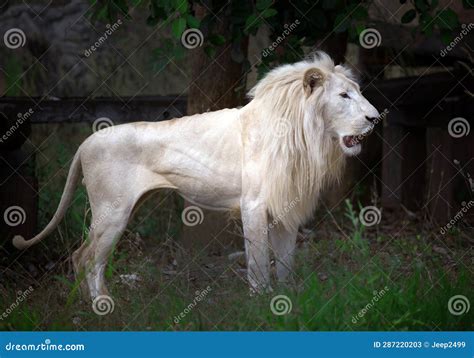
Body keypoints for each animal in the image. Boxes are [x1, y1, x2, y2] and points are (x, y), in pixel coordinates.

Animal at [12, 52, 380, 300]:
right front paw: (262, 302)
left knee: (85, 258)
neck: (307, 137)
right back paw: (102, 308)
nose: (375, 118)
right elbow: (259, 262)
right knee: (86, 258)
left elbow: (286, 262)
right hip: (111, 212)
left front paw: (289, 301)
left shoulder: (286, 207)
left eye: (357, 91)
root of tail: (85, 142)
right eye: (344, 96)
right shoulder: (253, 205)